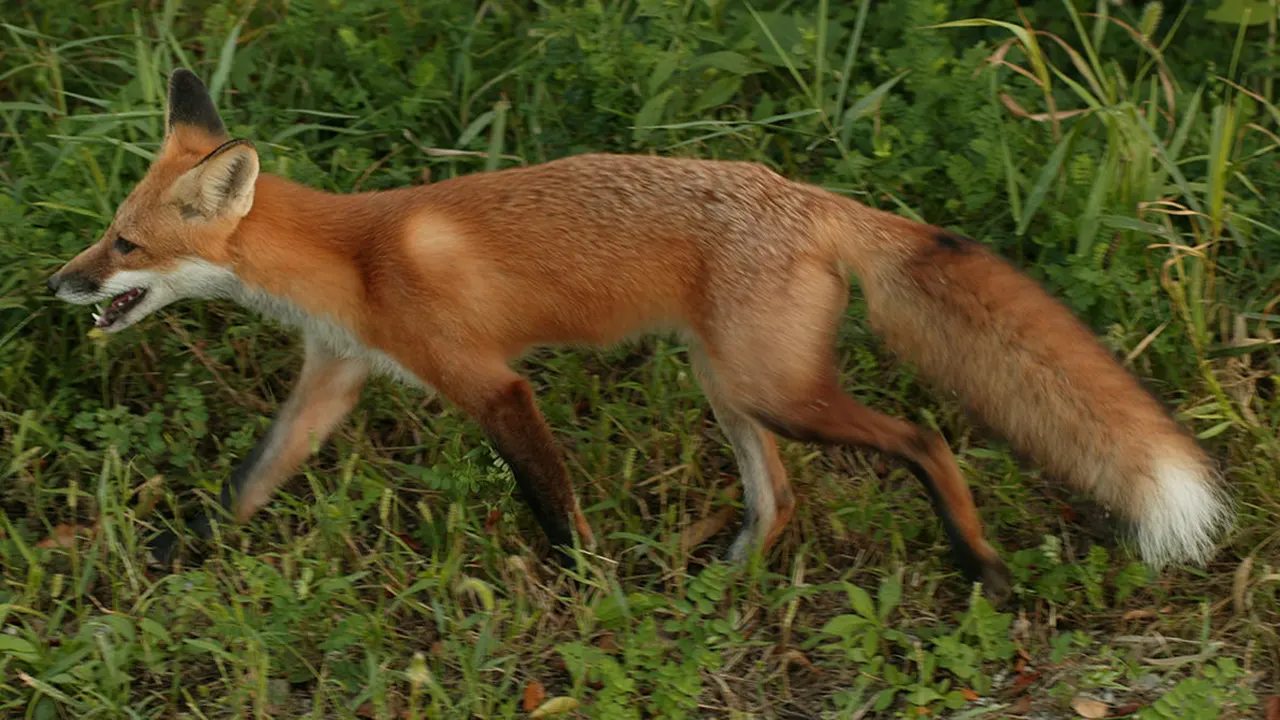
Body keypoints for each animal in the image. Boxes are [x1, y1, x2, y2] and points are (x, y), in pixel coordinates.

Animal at [47, 68, 1228, 594]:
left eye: (123, 242)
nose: (58, 283)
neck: (352, 261)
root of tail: (807, 195)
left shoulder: (489, 385)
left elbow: (551, 504)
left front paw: (584, 596)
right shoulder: (332, 380)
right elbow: (243, 489)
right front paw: (160, 563)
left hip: (773, 393)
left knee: (926, 438)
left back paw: (976, 564)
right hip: (729, 389)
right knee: (780, 499)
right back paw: (721, 584)